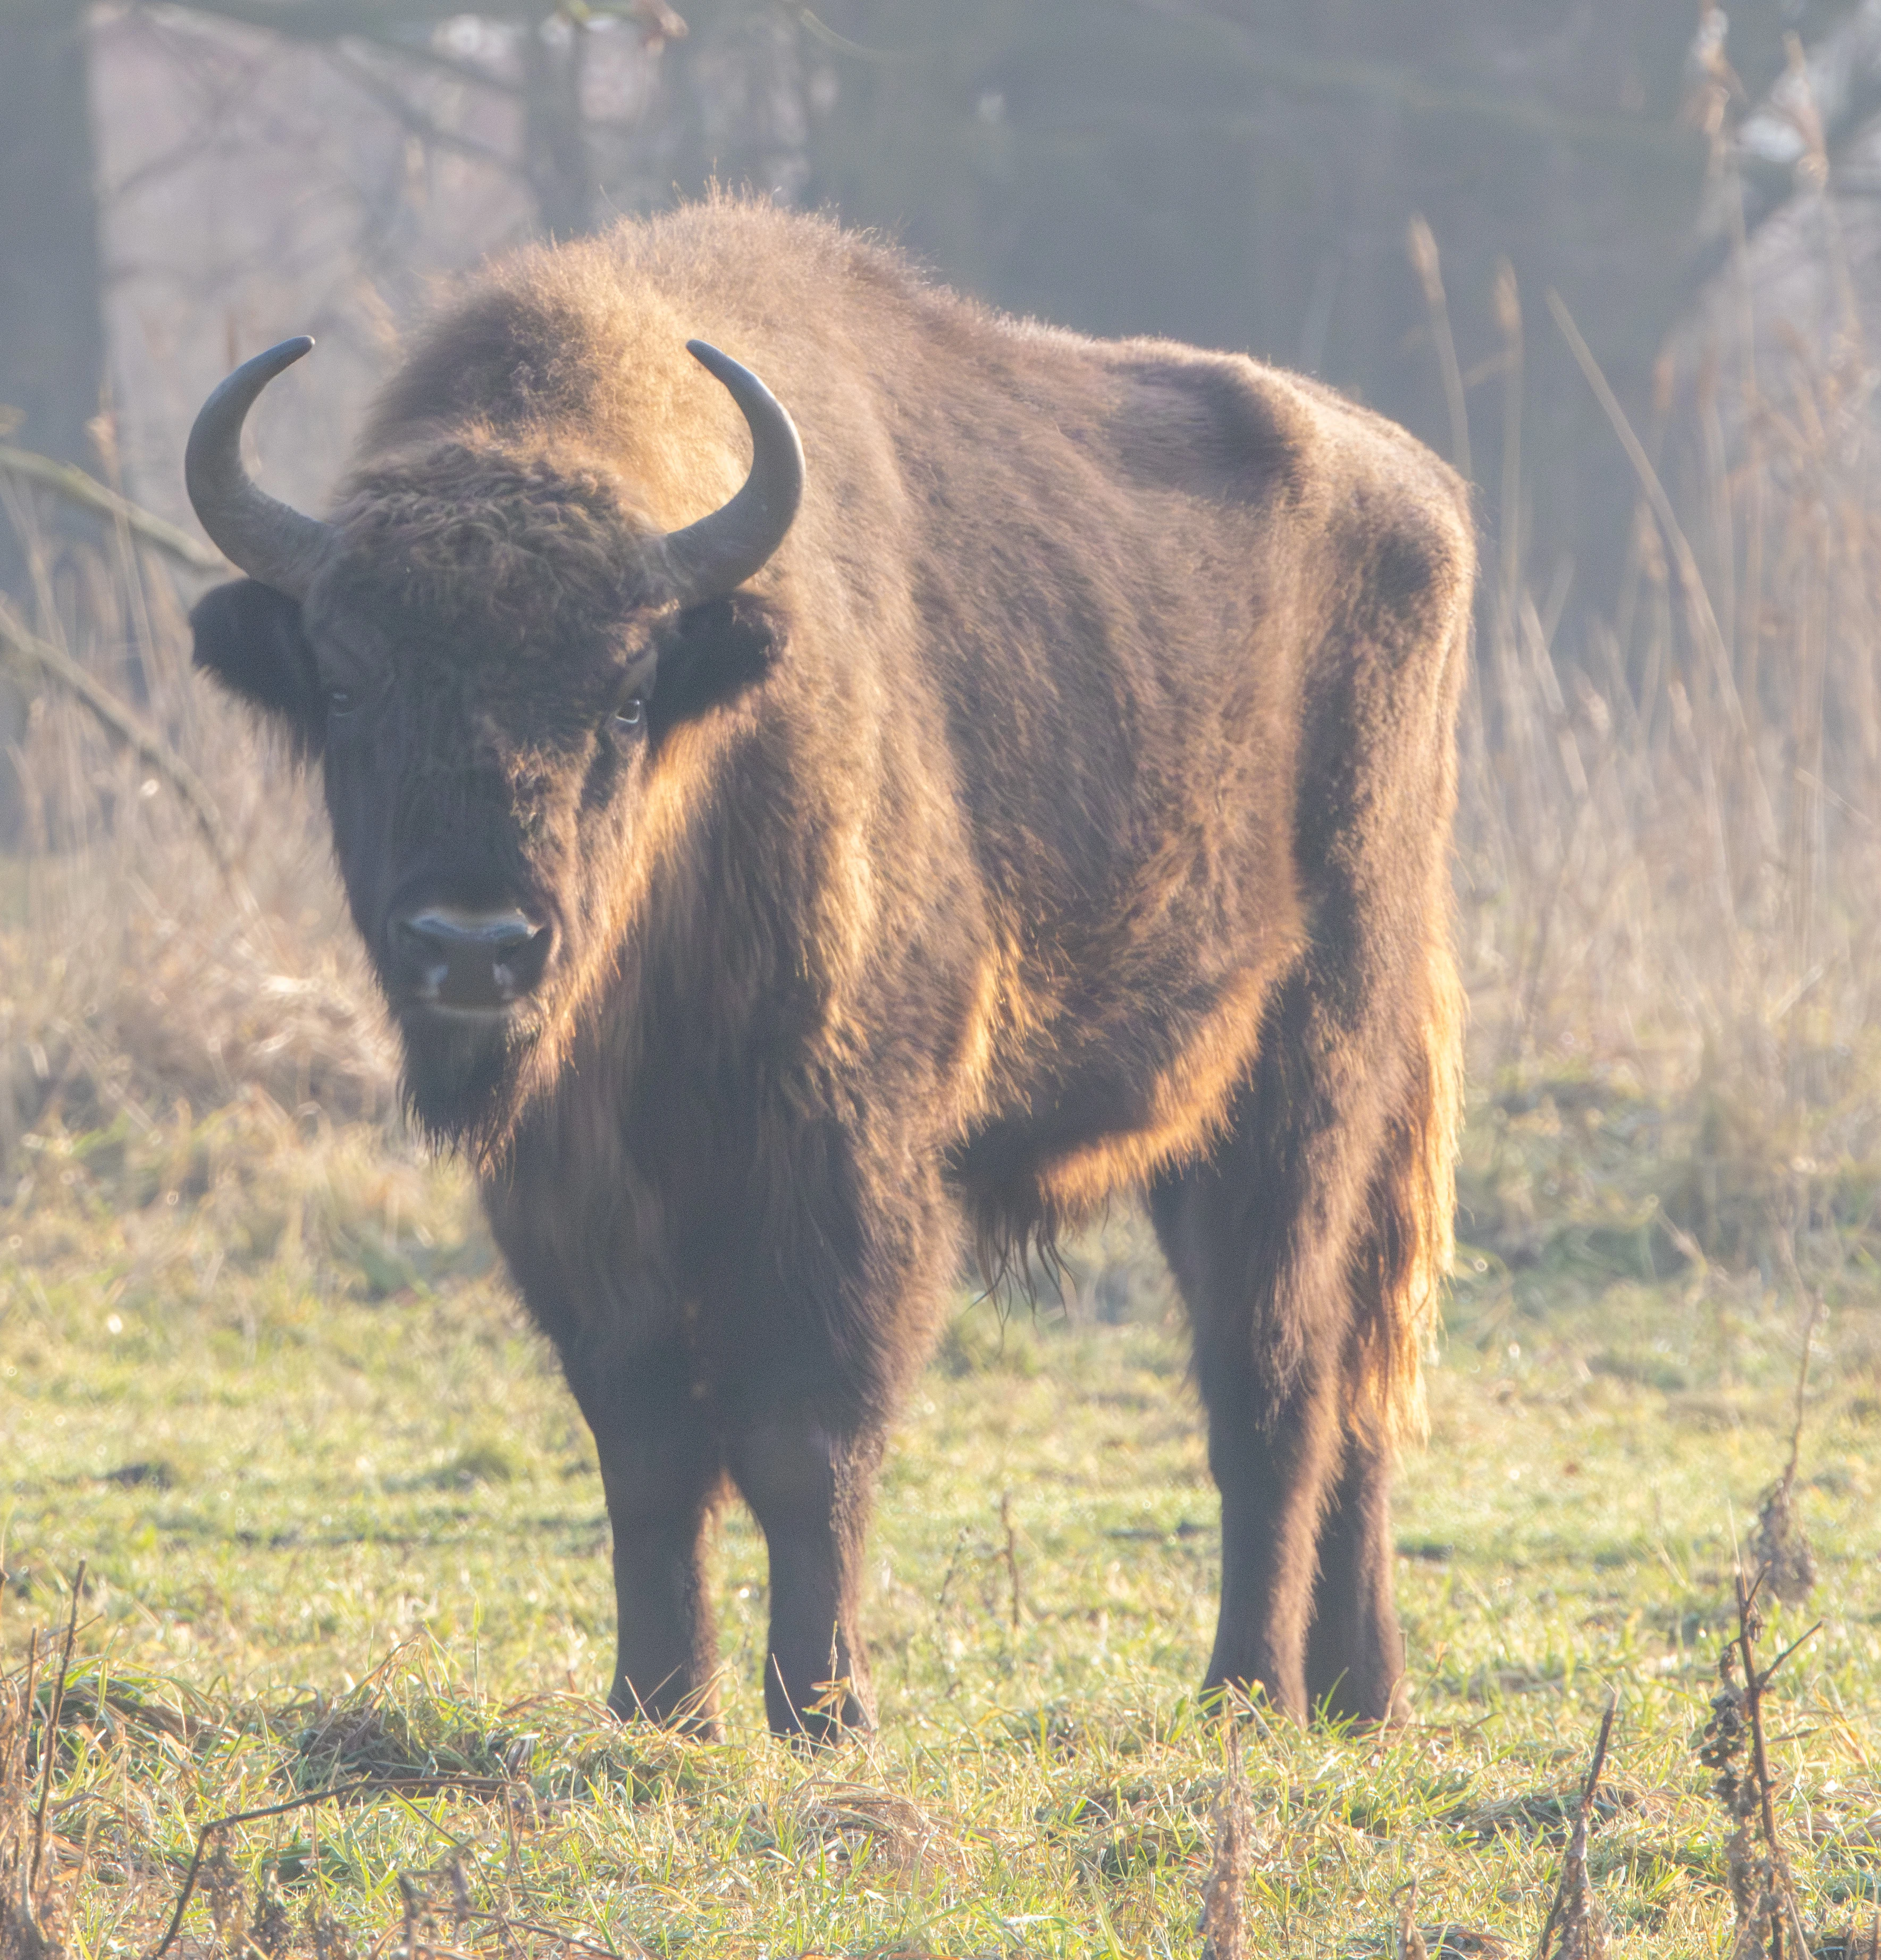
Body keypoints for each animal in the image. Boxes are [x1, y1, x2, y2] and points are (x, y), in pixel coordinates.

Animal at [186, 200, 1470, 1738]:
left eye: (627, 693)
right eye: (343, 684)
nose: (474, 943)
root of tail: (1418, 494)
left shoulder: (842, 1155)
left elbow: (809, 1429)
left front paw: (824, 1704)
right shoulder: (572, 1192)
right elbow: (646, 1440)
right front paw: (660, 1703)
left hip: (1304, 1087)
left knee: (1274, 1381)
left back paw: (1246, 1691)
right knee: (1350, 1381)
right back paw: (1360, 1693)